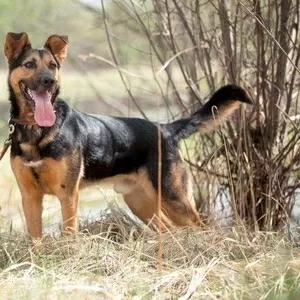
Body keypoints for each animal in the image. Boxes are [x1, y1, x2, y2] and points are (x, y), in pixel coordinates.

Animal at [3, 32, 252, 239]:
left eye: (53, 66)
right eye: (29, 64)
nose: (50, 81)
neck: (36, 129)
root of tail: (166, 129)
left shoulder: (68, 195)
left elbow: (69, 237)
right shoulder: (30, 197)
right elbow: (35, 239)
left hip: (173, 198)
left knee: (201, 227)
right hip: (141, 202)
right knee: (168, 229)